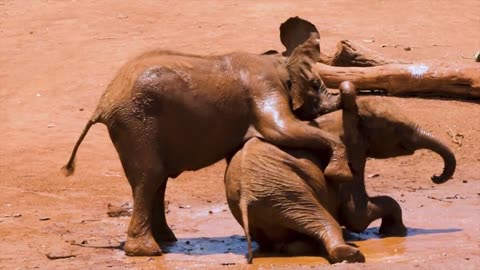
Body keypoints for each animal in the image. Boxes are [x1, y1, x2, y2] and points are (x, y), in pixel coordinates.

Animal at [224, 83, 454, 264]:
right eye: (397, 128)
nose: (435, 177)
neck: (344, 115)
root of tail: (245, 199)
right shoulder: (352, 155)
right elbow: (356, 214)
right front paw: (397, 232)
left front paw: (394, 232)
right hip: (285, 193)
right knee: (323, 220)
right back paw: (351, 254)